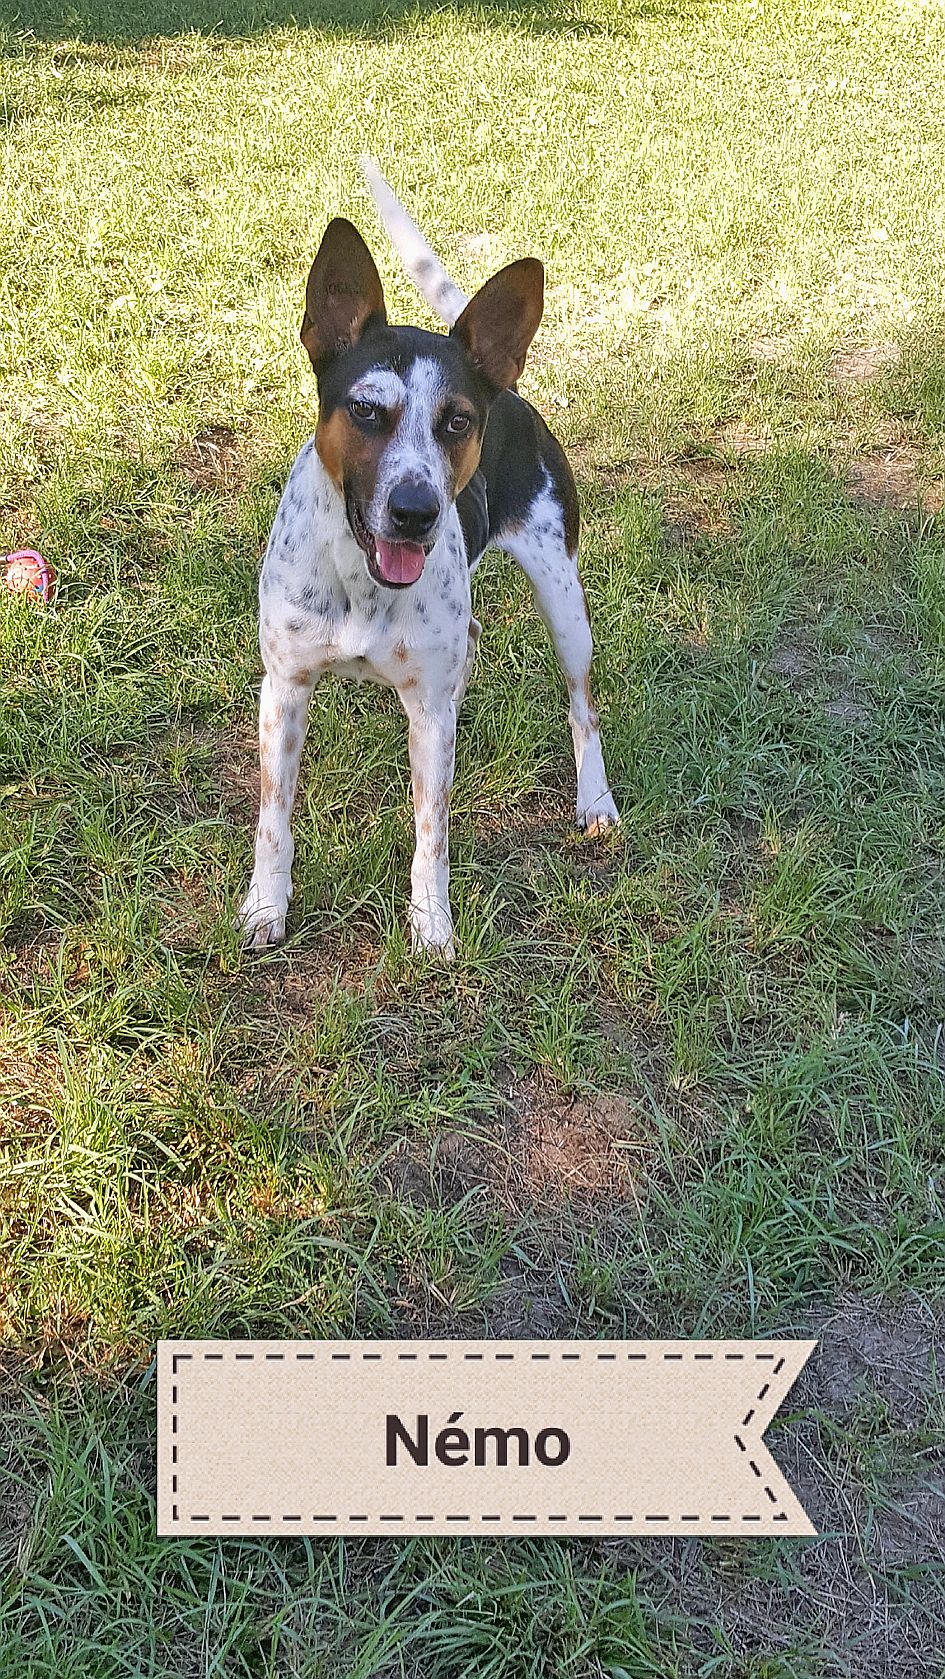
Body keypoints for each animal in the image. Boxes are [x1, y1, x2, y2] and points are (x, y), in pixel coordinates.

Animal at [240, 165, 617, 967]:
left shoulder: (426, 720)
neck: (361, 581)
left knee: (582, 704)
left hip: (563, 598)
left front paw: (431, 922)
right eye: (365, 409)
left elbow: (431, 831)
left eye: (456, 421)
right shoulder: (284, 688)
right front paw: (264, 906)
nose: (415, 511)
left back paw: (595, 798)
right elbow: (274, 820)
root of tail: (512, 389)